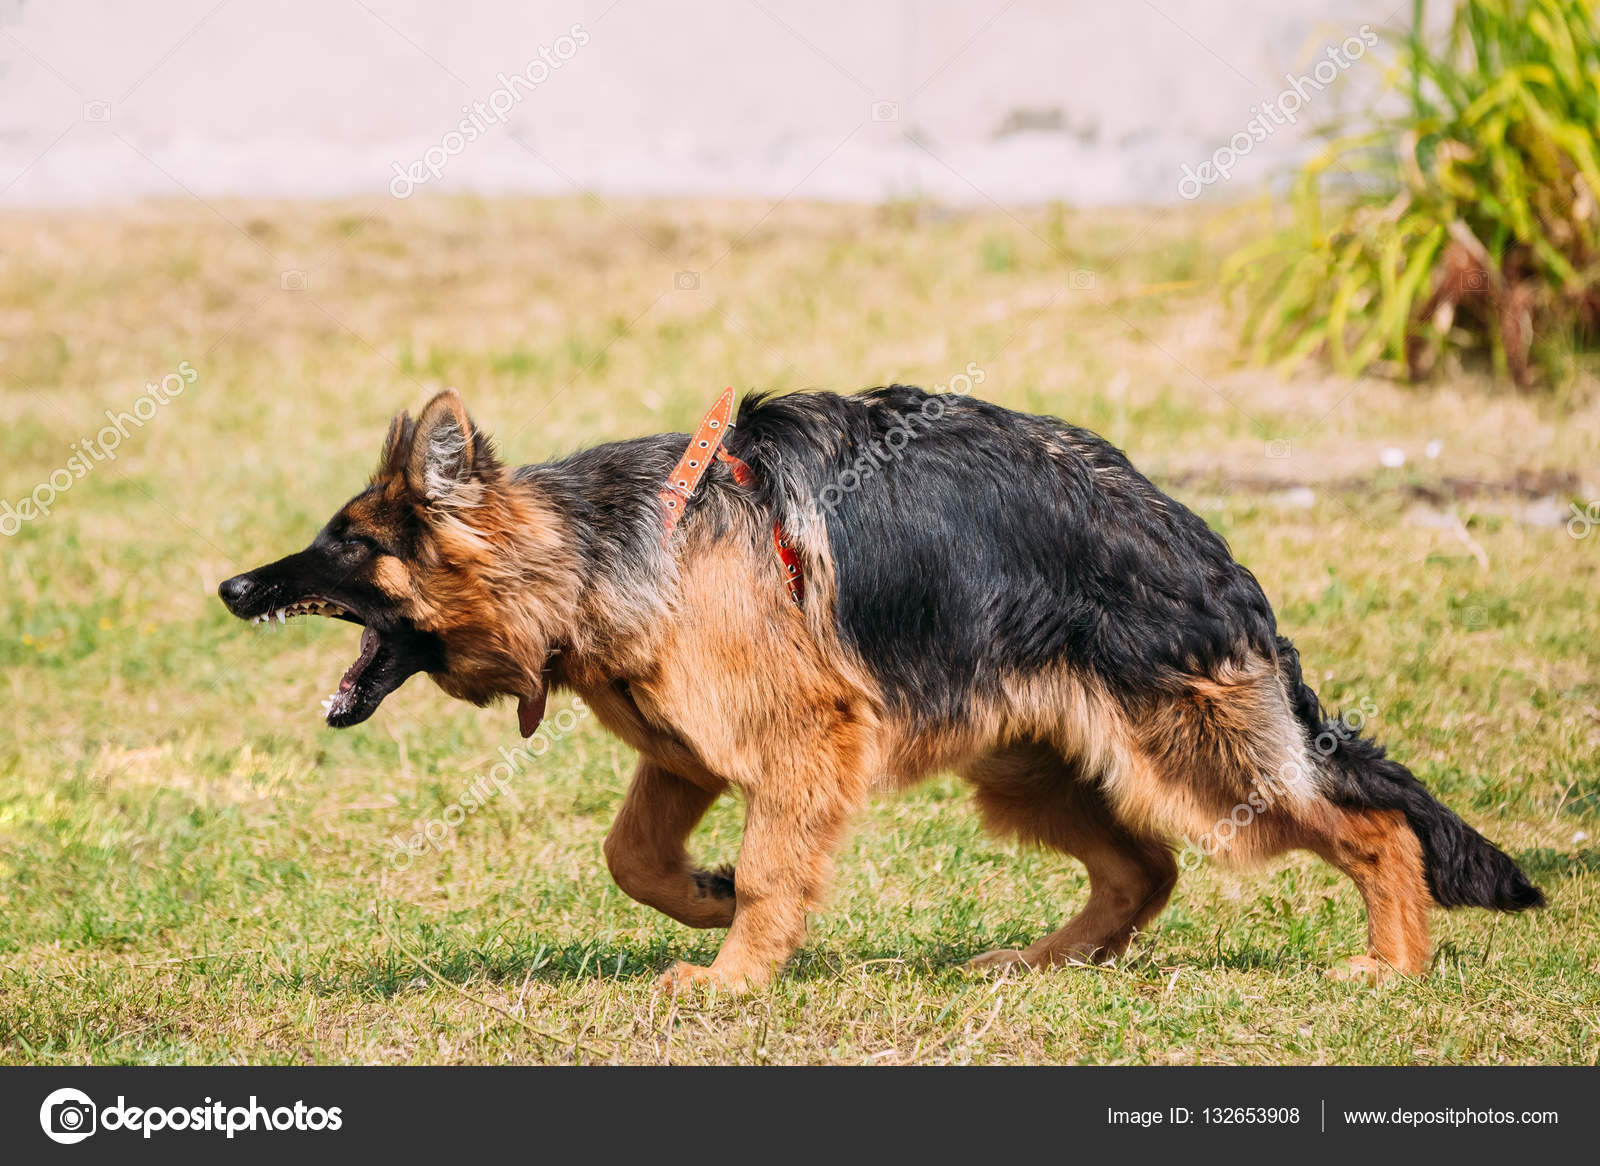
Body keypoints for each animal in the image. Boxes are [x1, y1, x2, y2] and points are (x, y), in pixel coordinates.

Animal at [216, 387, 1536, 985]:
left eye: (344, 542)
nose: (231, 586)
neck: (596, 552)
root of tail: (1193, 540)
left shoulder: (797, 742)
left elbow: (765, 865)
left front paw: (734, 977)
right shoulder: (684, 751)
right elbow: (632, 855)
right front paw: (703, 902)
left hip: (1196, 760)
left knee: (1366, 825)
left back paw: (1391, 961)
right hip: (1025, 766)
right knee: (1142, 865)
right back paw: (1047, 960)